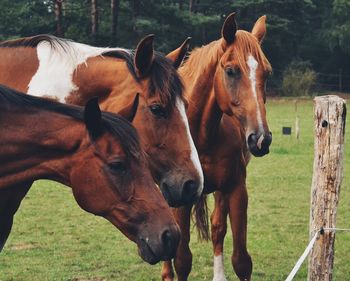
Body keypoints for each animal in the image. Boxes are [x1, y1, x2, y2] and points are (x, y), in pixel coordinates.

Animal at [162, 13, 274, 280]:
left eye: (267, 73)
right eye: (231, 71)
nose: (261, 138)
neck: (202, 137)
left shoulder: (235, 189)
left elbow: (241, 260)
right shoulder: (180, 196)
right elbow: (182, 260)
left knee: (217, 227)